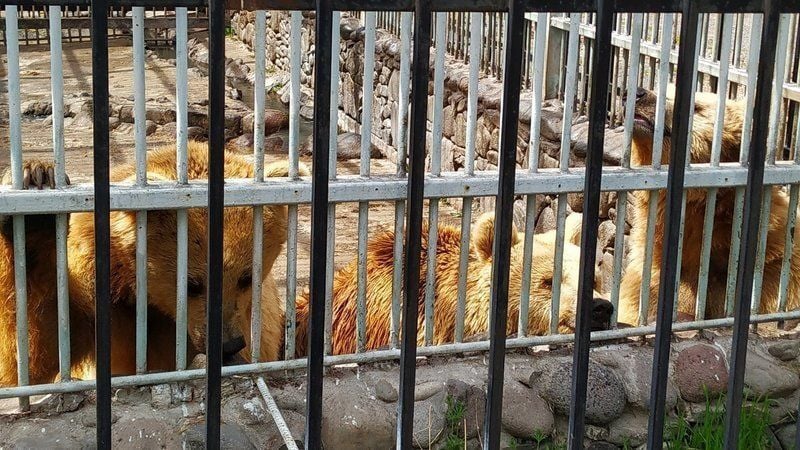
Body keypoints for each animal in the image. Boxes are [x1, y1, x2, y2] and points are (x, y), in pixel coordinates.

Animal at [0, 142, 304, 386]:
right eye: (192, 284)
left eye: (246, 278)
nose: (229, 344)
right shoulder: (98, 295)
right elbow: (36, 354)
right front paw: (37, 187)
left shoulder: (259, 317)